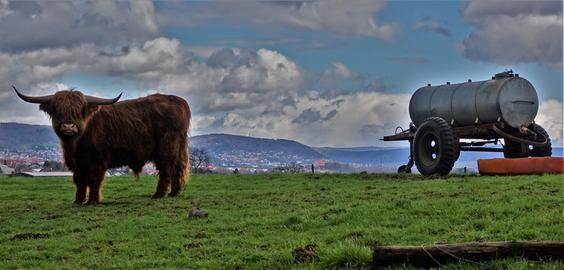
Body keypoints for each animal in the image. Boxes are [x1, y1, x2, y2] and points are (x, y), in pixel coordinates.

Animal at [14, 87, 191, 205]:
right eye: (58, 110)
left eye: (79, 111)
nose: (68, 126)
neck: (75, 144)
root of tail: (180, 101)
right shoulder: (78, 163)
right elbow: (80, 180)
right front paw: (78, 201)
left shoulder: (97, 160)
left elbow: (93, 179)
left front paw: (92, 201)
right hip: (178, 147)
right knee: (177, 168)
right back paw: (174, 192)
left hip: (166, 147)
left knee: (167, 168)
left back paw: (159, 194)